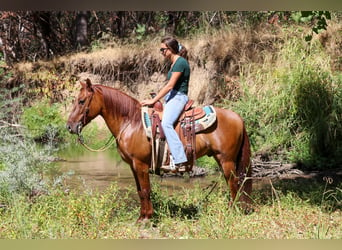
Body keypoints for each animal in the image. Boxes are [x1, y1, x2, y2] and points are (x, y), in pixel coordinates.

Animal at [67, 79, 252, 222]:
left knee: (233, 183)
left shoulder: (140, 164)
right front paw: (142, 217)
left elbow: (146, 190)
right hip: (222, 159)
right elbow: (140, 191)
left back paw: (233, 211)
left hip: (226, 160)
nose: (70, 126)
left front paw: (147, 218)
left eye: (81, 101)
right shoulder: (133, 165)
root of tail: (238, 117)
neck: (132, 122)